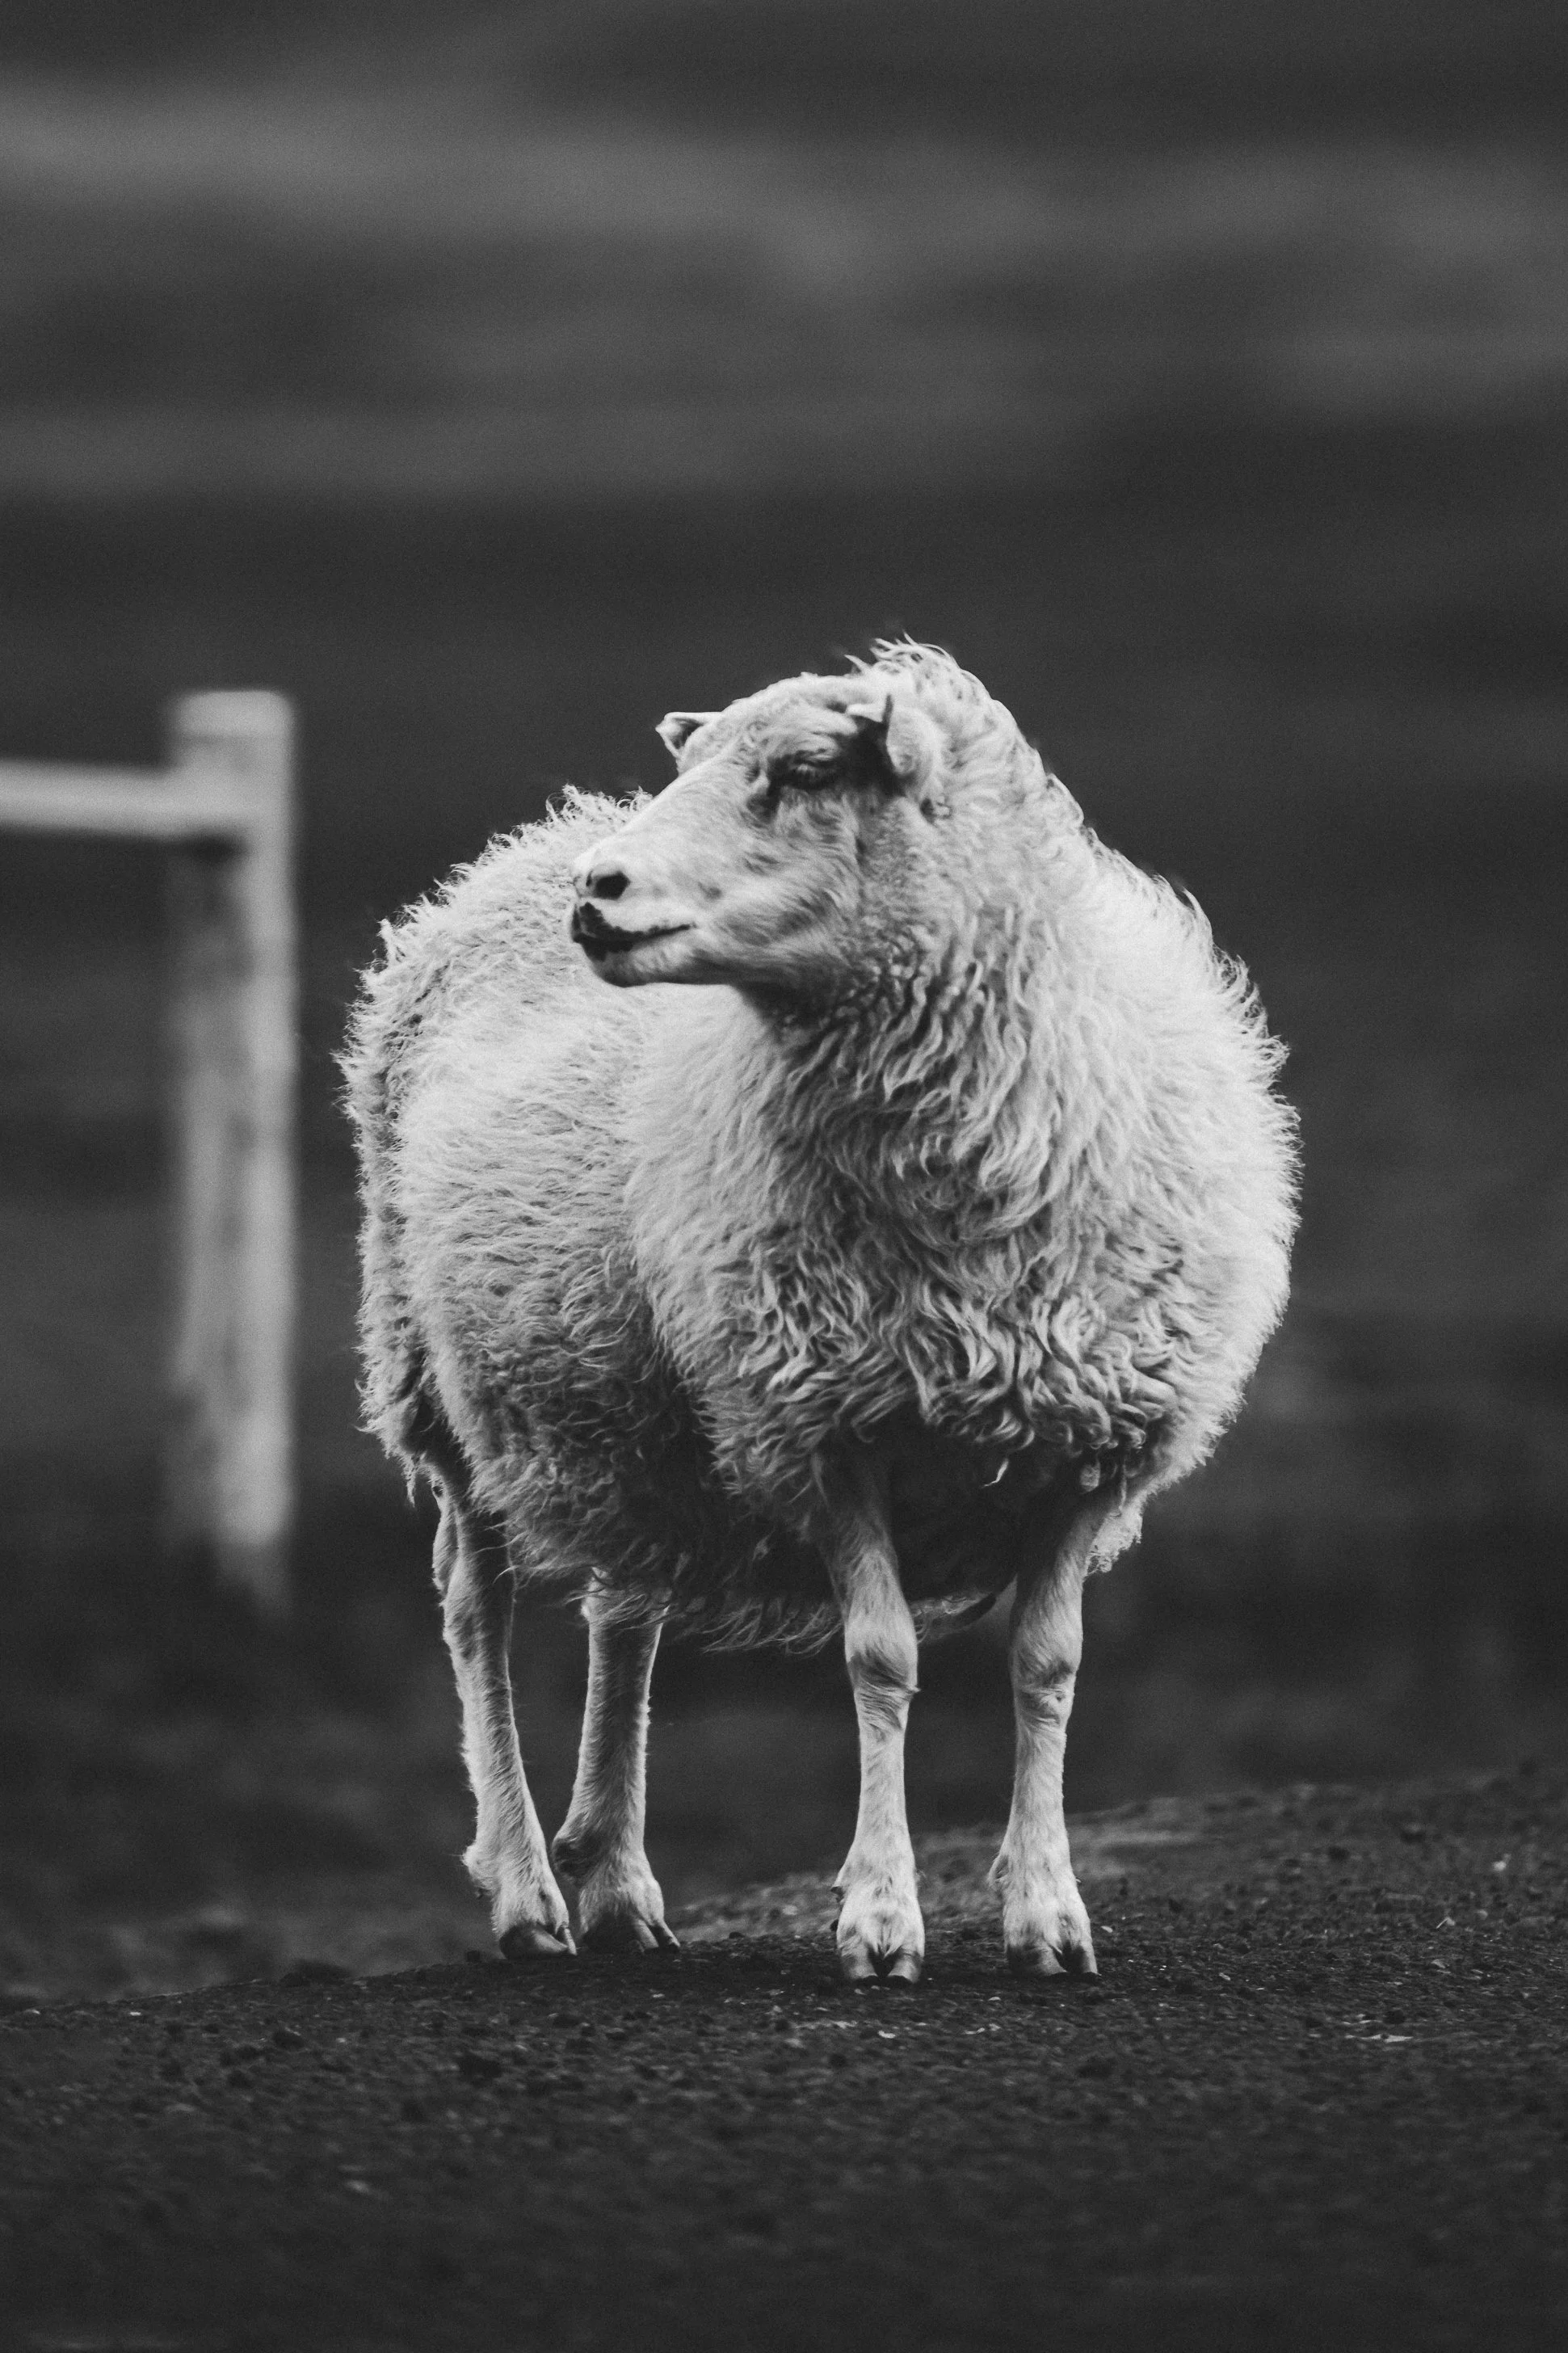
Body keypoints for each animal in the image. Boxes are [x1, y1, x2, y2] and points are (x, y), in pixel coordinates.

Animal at [344, 641, 1298, 1984]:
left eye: (803, 772)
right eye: (692, 762)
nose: (600, 893)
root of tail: (530, 843)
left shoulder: (1090, 1443)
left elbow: (1047, 1666)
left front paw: (1047, 1912)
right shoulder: (827, 1429)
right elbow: (880, 1659)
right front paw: (881, 1918)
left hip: (626, 1407)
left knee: (624, 1611)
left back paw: (618, 1877)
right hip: (439, 1379)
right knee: (477, 1607)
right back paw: (529, 1889)